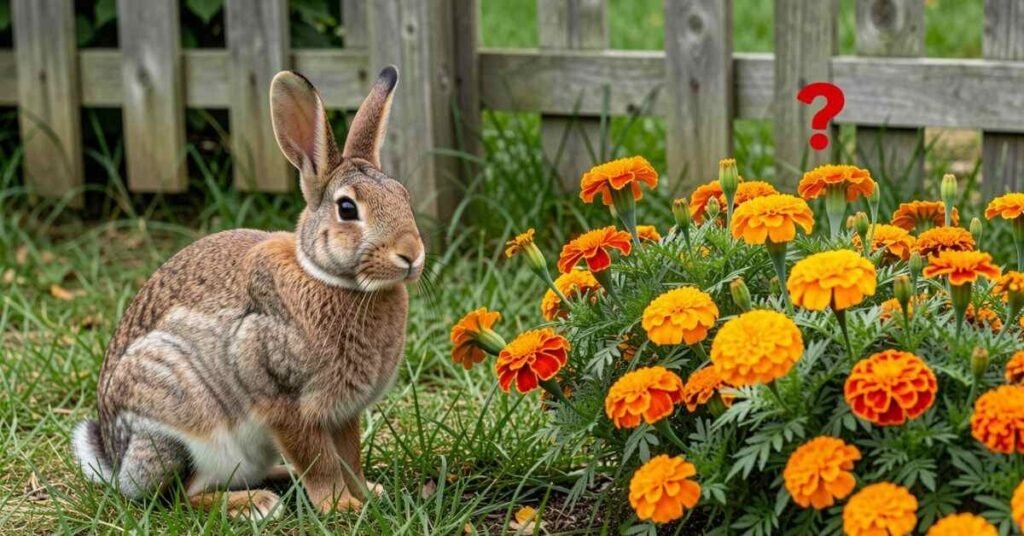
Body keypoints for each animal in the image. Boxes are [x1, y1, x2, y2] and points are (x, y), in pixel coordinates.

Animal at [71, 65, 425, 520]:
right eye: (348, 209)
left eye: (403, 196)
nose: (411, 255)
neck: (329, 277)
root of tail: (117, 463)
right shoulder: (285, 401)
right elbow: (320, 460)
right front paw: (340, 506)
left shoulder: (343, 414)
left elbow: (349, 456)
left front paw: (367, 494)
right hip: (182, 424)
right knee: (180, 495)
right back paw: (254, 503)